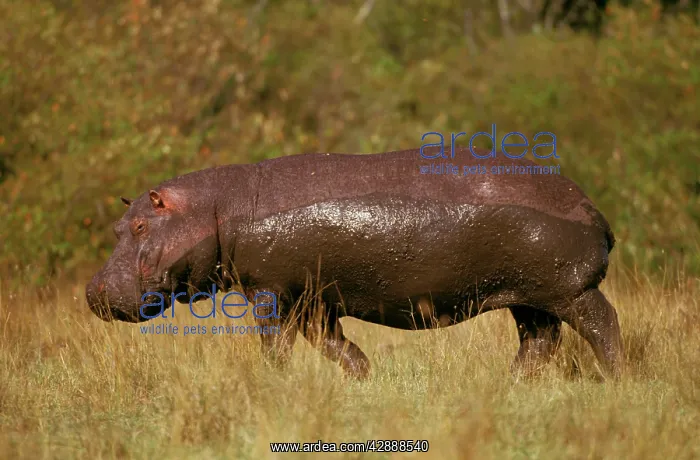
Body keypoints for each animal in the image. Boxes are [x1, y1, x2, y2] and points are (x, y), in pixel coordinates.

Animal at [86, 147, 623, 378]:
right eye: (117, 226)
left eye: (140, 227)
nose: (93, 291)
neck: (216, 208)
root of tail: (591, 207)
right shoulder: (311, 300)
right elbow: (331, 342)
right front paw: (363, 377)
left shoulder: (270, 293)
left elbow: (274, 344)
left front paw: (272, 383)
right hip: (529, 298)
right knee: (539, 343)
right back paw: (507, 386)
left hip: (569, 291)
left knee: (604, 326)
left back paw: (617, 380)